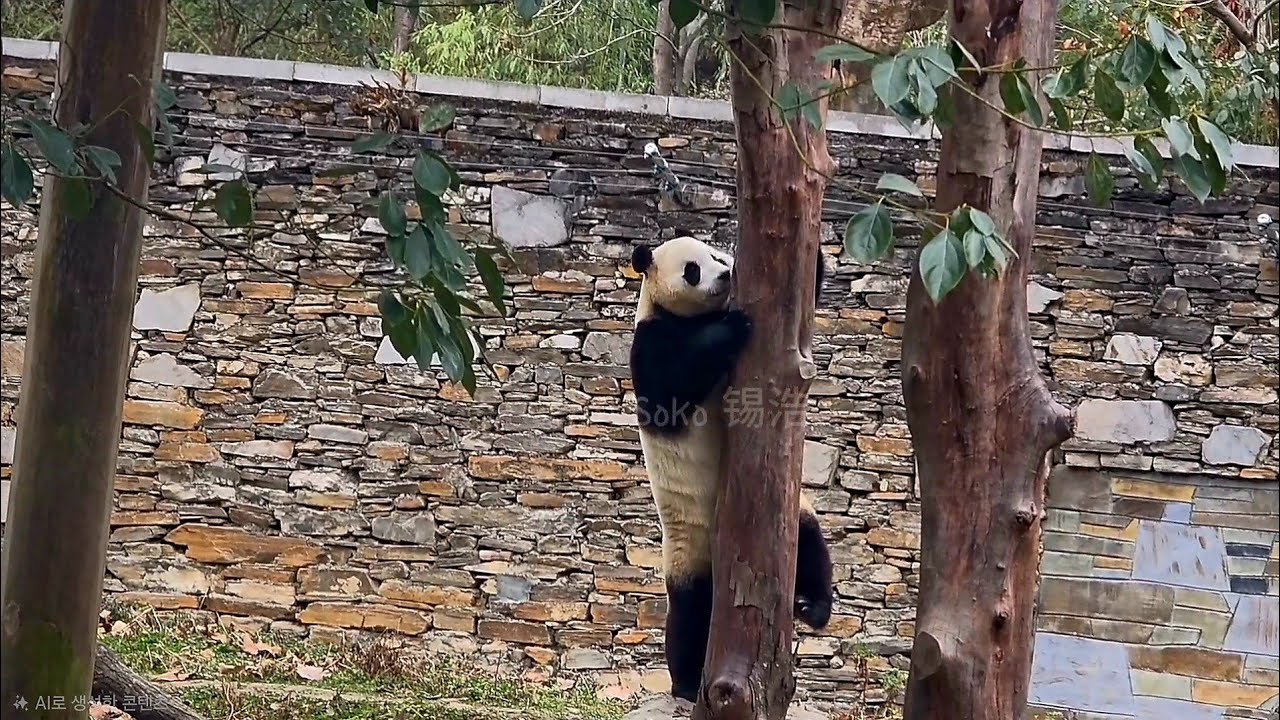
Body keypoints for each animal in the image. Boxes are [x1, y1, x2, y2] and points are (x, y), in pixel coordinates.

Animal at [628, 235, 833, 702]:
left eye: (717, 255)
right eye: (692, 269)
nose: (725, 275)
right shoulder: (650, 341)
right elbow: (668, 395)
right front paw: (731, 328)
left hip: (790, 515)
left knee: (809, 543)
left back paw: (812, 607)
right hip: (688, 542)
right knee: (689, 611)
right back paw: (686, 683)